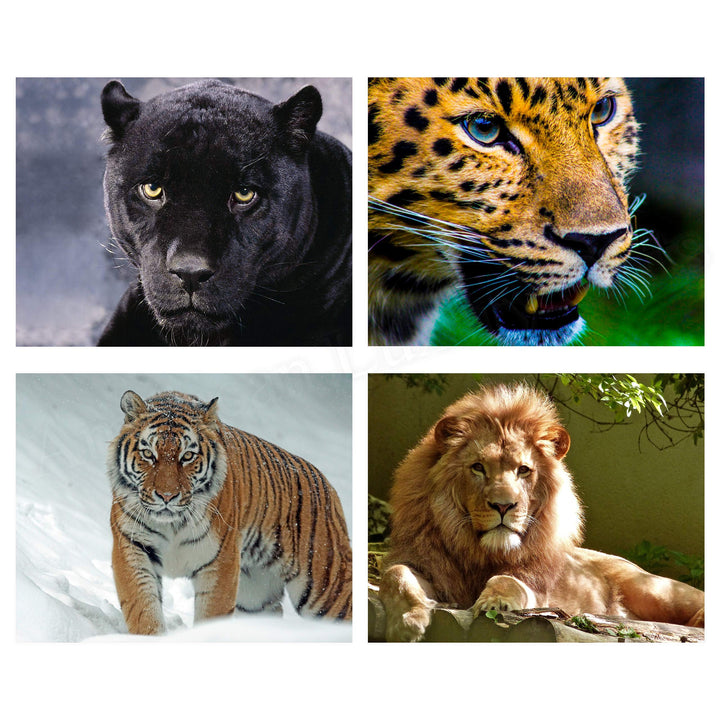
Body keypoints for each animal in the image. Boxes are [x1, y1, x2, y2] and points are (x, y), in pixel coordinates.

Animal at [107, 389, 352, 635]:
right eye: (148, 454)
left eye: (187, 456)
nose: (167, 496)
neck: (172, 524)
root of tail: (327, 485)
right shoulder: (132, 547)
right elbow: (143, 609)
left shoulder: (220, 561)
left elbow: (212, 614)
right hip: (255, 596)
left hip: (327, 589)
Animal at [379, 384, 704, 641]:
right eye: (478, 468)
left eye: (523, 470)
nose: (503, 506)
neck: (480, 552)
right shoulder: (427, 566)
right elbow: (396, 574)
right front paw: (408, 621)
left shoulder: (538, 590)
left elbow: (507, 581)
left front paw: (495, 603)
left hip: (655, 589)